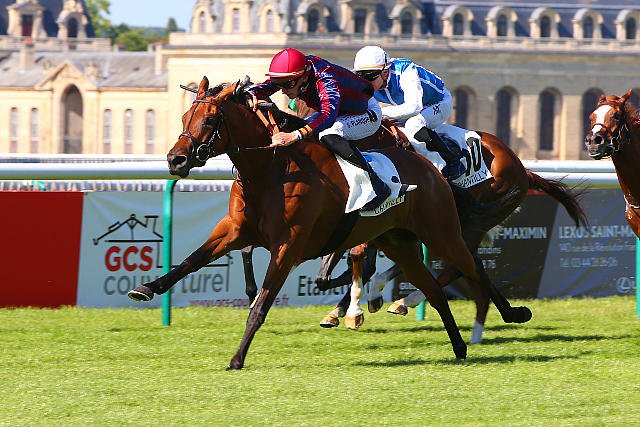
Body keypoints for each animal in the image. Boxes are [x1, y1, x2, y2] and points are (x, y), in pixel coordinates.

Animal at [126, 76, 532, 369]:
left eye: (210, 119)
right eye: (184, 119)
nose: (176, 160)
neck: (272, 168)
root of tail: (430, 169)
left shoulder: (289, 246)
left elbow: (262, 304)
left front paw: (237, 358)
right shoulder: (235, 230)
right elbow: (192, 260)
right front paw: (146, 287)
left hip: (440, 232)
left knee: (472, 267)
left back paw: (499, 317)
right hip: (398, 242)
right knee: (433, 287)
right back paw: (458, 344)